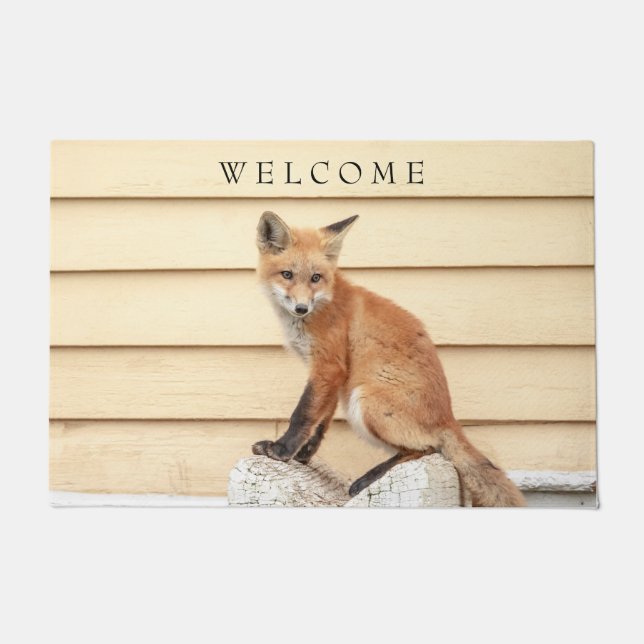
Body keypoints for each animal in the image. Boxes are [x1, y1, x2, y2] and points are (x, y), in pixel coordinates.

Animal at [252, 211, 526, 507]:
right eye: (287, 274)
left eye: (316, 277)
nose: (302, 308)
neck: (323, 303)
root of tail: (449, 418)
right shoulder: (334, 375)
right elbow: (320, 421)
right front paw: (303, 455)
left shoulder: (328, 365)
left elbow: (303, 414)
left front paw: (281, 450)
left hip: (365, 401)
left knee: (429, 449)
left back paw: (370, 477)